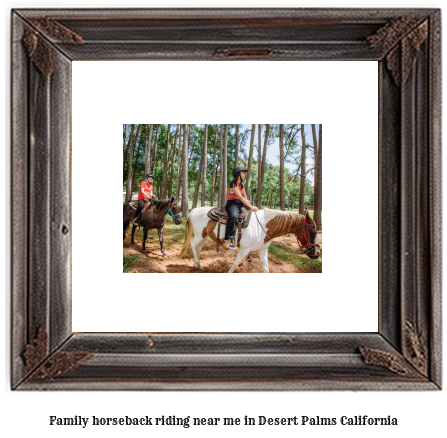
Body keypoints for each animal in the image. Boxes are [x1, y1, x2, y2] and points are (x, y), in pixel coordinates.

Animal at [178, 207, 318, 272]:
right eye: (312, 231)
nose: (317, 253)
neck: (263, 226)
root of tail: (194, 210)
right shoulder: (244, 250)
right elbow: (235, 264)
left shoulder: (263, 251)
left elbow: (266, 268)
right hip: (199, 234)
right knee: (193, 245)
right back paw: (197, 264)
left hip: (205, 235)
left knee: (198, 247)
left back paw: (198, 264)